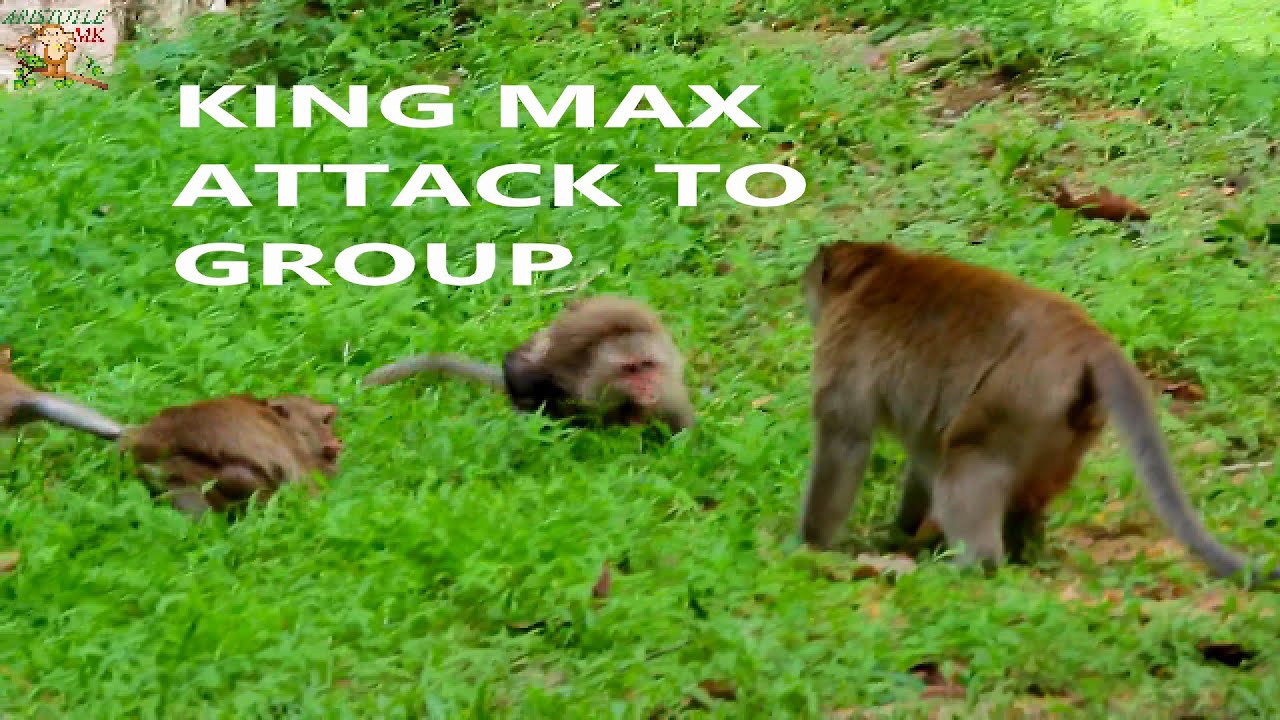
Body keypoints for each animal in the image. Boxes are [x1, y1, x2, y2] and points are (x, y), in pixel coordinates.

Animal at [797, 240, 1280, 587]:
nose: (804, 290)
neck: (868, 275)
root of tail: (1087, 341)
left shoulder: (844, 340)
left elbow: (845, 437)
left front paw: (808, 546)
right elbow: (922, 452)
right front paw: (902, 533)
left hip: (1018, 395)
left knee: (967, 460)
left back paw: (973, 565)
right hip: (1063, 421)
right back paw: (1026, 553)